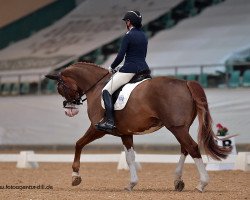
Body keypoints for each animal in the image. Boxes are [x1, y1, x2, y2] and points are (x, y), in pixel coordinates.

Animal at [46, 62, 231, 192]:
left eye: (61, 87)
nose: (69, 111)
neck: (97, 87)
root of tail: (186, 83)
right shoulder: (126, 133)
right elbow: (130, 158)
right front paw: (131, 183)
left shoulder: (97, 129)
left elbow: (78, 144)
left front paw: (75, 176)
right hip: (181, 127)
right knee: (185, 148)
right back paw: (178, 180)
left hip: (176, 127)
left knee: (192, 147)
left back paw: (202, 184)